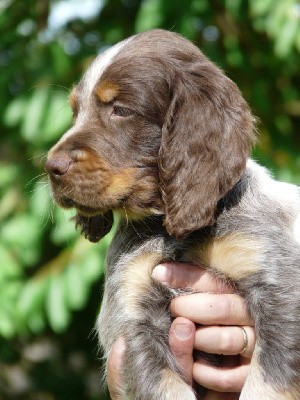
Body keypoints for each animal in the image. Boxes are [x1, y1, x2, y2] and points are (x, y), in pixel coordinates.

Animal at [45, 29, 300, 398]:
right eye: (75, 112)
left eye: (121, 110)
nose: (51, 167)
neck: (169, 227)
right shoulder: (132, 314)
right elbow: (165, 386)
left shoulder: (279, 288)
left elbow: (265, 384)